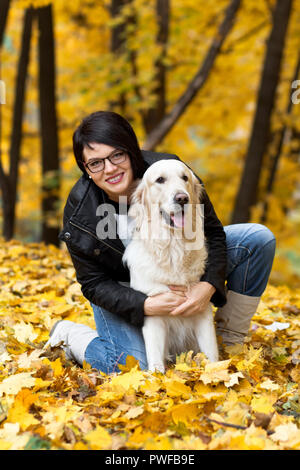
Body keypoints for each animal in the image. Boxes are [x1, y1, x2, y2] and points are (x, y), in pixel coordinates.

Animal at [122, 160, 218, 372]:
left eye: (185, 178)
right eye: (160, 180)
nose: (182, 198)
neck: (174, 246)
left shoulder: (202, 309)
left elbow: (212, 355)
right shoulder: (153, 311)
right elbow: (156, 359)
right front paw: (155, 377)